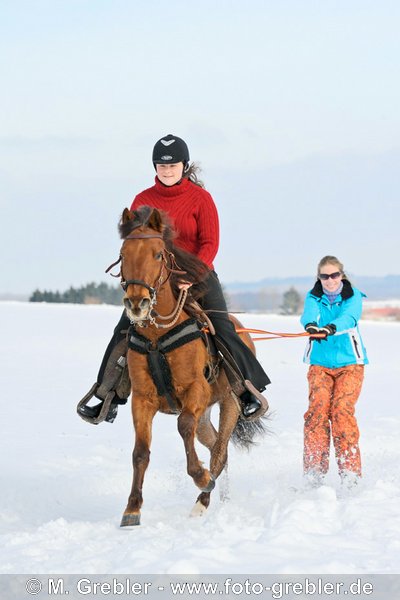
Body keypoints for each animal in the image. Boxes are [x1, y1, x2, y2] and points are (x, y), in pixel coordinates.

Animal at [115, 206, 268, 524]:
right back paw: (219, 496)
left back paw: (203, 499)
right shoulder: (142, 398)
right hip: (206, 415)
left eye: (158, 254)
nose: (137, 302)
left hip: (230, 404)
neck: (157, 336)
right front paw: (132, 508)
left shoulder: (195, 390)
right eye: (123, 254)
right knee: (216, 447)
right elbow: (140, 452)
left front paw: (200, 477)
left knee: (220, 451)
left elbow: (183, 425)